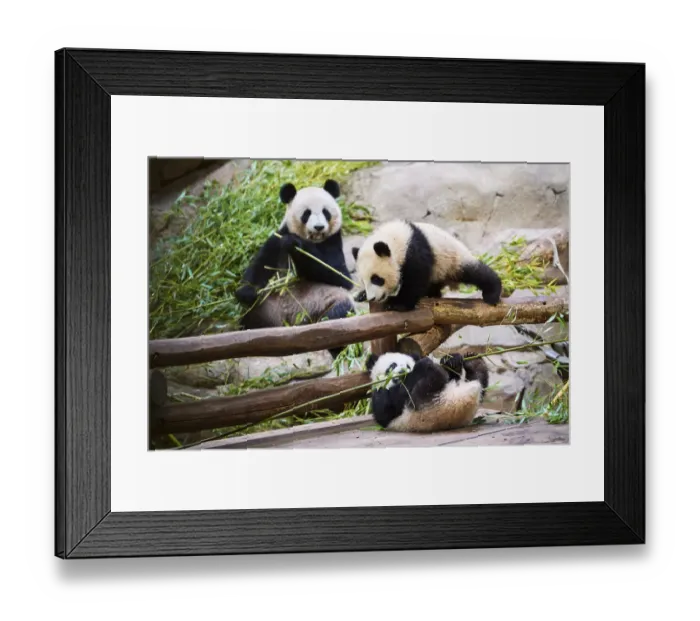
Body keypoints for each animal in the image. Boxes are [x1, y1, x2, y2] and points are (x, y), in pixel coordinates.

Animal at [234, 179, 355, 357]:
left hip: (325, 302)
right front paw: (247, 292)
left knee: (338, 315)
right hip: (265, 309)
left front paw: (296, 244)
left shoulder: (332, 242)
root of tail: (293, 323)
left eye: (325, 212)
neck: (313, 240)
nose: (319, 227)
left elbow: (340, 275)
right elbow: (260, 265)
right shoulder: (277, 239)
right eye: (307, 213)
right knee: (250, 323)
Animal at [351, 220, 502, 311]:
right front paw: (361, 295)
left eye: (377, 279)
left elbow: (416, 280)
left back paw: (492, 293)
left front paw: (397, 303)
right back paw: (432, 294)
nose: (372, 298)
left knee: (476, 273)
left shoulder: (415, 252)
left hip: (453, 260)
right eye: (363, 281)